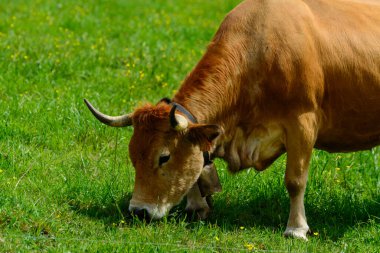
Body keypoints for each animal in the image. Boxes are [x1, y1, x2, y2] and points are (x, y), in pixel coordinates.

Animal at [85, 0, 380, 240]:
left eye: (164, 157)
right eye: (133, 156)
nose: (138, 211)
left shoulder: (303, 122)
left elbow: (295, 181)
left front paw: (296, 228)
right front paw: (197, 207)